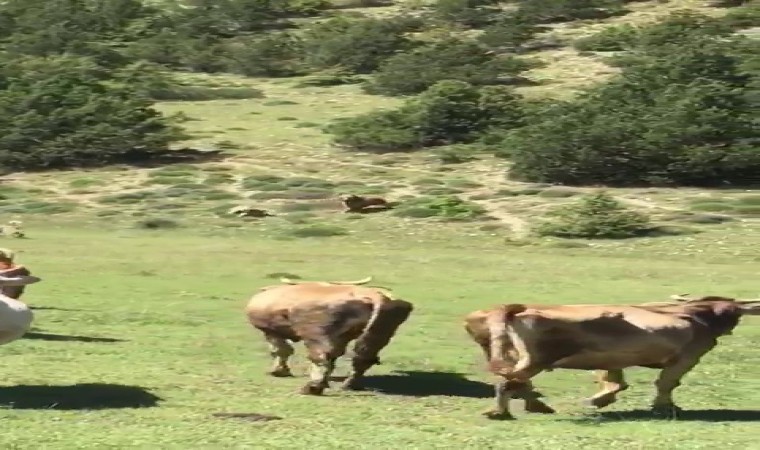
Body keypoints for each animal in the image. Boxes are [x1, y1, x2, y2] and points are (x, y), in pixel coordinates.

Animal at [245, 276, 412, 396]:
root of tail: (375, 296)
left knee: (321, 359)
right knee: (363, 358)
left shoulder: (271, 331)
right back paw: (349, 385)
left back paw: (312, 388)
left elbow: (280, 350)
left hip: (317, 337)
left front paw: (278, 371)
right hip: (381, 333)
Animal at [464, 294, 760, 420]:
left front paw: (599, 399)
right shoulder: (687, 357)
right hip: (536, 359)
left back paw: (536, 407)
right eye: (733, 312)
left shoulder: (609, 360)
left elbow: (615, 381)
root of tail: (515, 310)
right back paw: (500, 412)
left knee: (516, 382)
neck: (696, 316)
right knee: (510, 383)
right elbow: (666, 383)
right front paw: (666, 407)